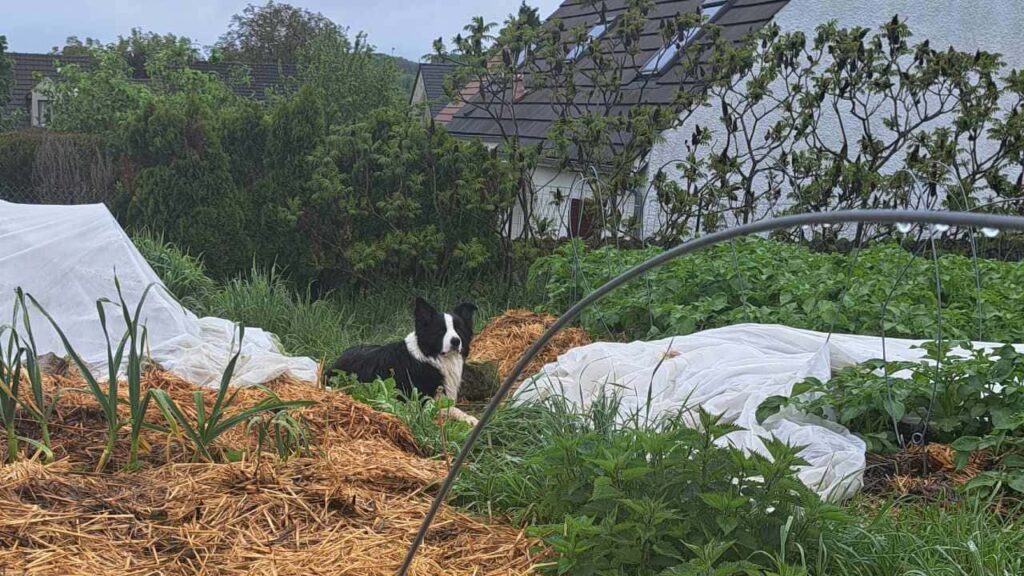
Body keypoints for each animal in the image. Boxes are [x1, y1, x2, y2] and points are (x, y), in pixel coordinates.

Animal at [323, 297, 479, 424]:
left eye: (459, 329)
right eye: (441, 330)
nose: (456, 341)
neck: (430, 356)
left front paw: (470, 419)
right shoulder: (418, 401)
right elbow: (443, 409)